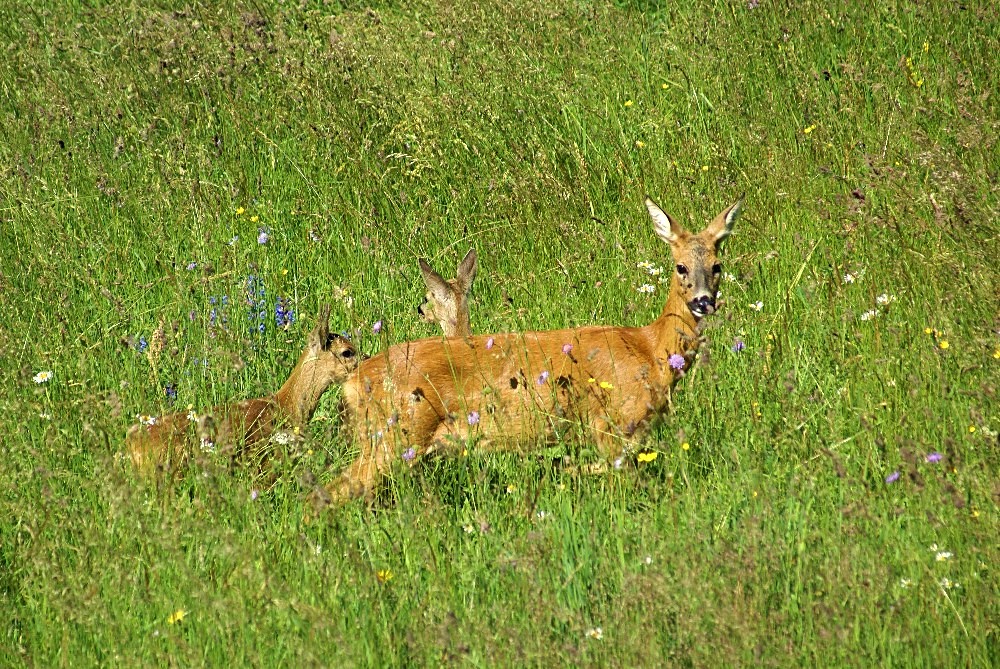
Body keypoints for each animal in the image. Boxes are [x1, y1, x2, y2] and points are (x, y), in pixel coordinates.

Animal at [328, 196, 744, 504]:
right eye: (680, 267)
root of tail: (353, 382)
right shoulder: (612, 427)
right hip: (396, 435)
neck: (650, 349)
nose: (704, 302)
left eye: (717, 265)